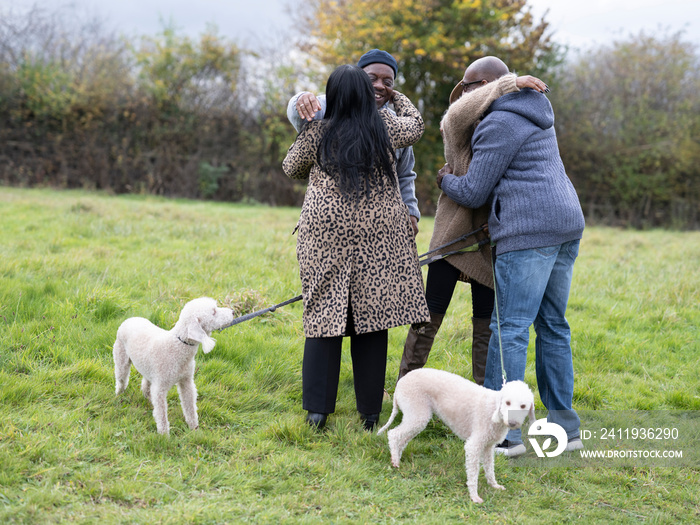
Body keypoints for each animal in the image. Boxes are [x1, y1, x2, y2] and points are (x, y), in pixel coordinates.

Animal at [113, 296, 234, 432]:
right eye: (213, 312)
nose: (233, 312)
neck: (178, 345)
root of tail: (130, 319)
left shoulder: (186, 381)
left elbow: (190, 407)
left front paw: (194, 429)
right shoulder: (160, 388)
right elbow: (162, 415)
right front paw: (164, 434)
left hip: (148, 367)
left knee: (146, 384)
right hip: (121, 357)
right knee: (121, 380)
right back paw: (119, 395)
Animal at [378, 366, 536, 502]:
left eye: (523, 406)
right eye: (507, 402)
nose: (512, 423)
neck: (493, 409)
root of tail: (401, 382)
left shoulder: (488, 446)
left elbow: (490, 468)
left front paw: (494, 485)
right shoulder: (474, 445)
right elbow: (473, 474)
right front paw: (474, 497)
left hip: (415, 415)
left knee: (401, 439)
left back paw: (396, 459)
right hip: (417, 412)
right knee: (393, 434)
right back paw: (395, 461)